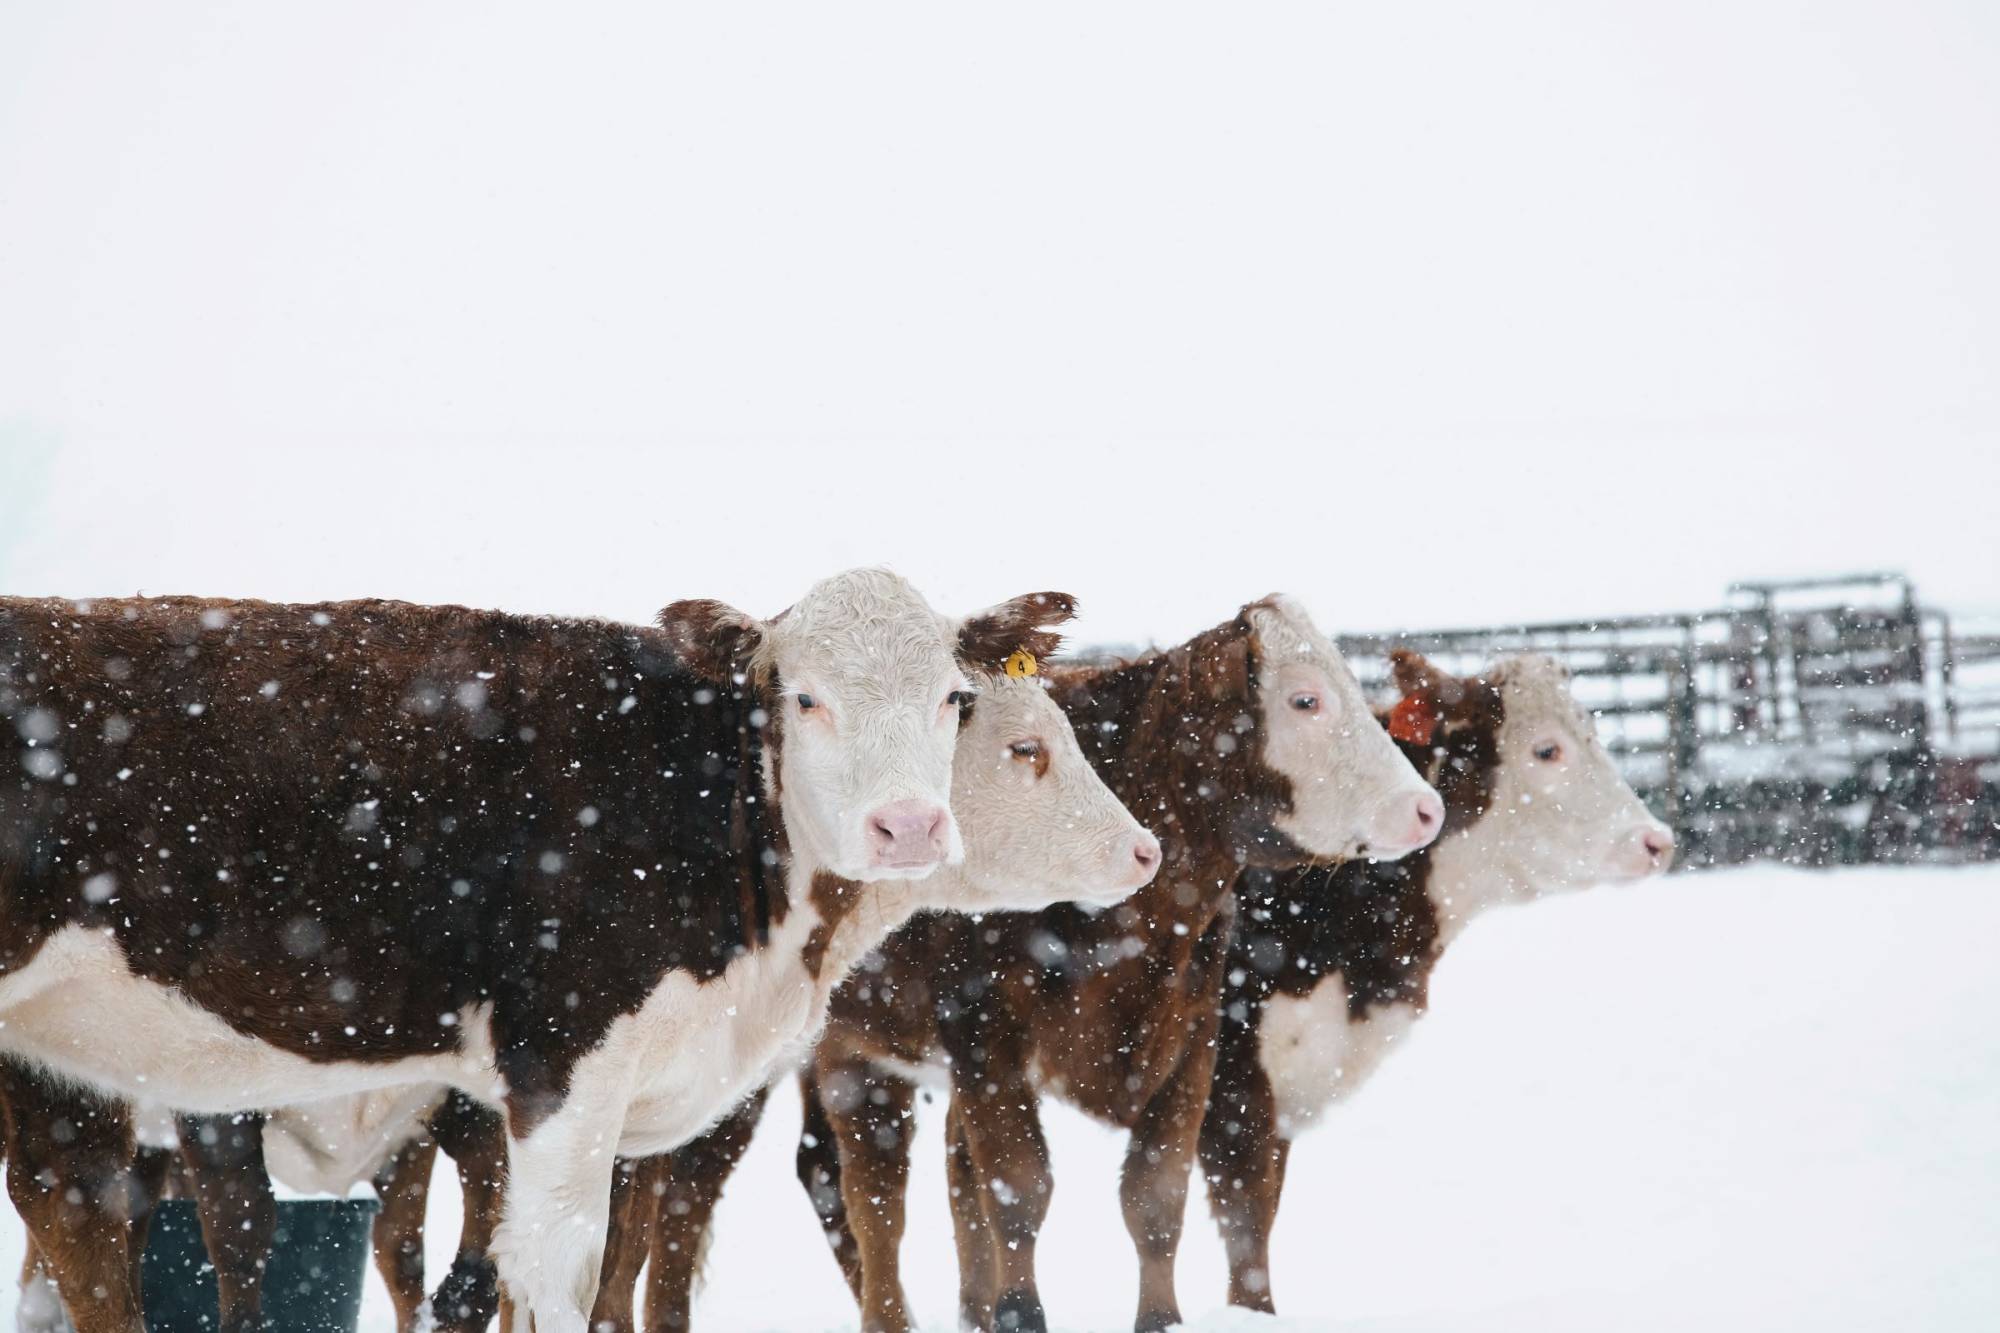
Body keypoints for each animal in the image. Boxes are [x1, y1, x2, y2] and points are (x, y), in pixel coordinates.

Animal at [0, 568, 1112, 1328]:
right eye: (803, 697)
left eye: (953, 699)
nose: (908, 826)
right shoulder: (560, 1064)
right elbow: (555, 1270)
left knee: (77, 1232)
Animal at [584, 592, 1448, 1328]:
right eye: (1305, 699)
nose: (1425, 808)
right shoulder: (983, 1030)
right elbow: (1017, 1186)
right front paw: (1020, 1314)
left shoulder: (1197, 1028)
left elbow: (1155, 1195)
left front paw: (1159, 1319)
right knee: (691, 1194)